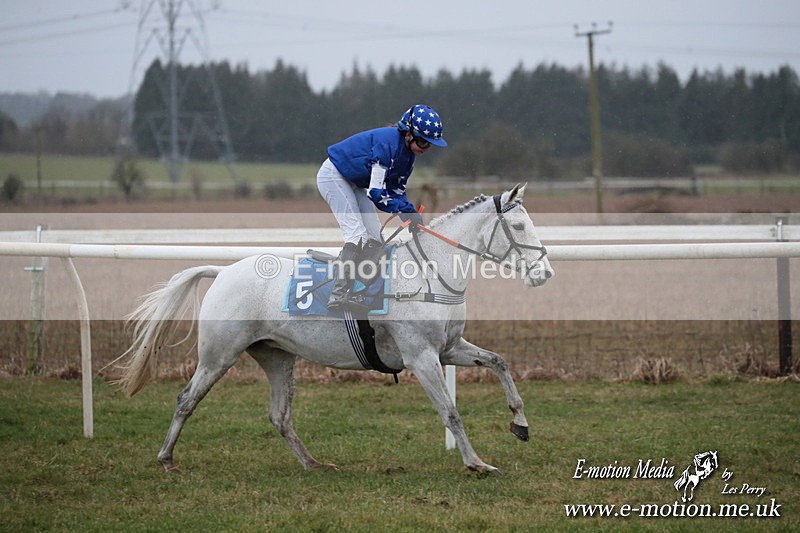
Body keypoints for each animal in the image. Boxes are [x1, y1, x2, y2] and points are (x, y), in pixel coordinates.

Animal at [118, 183, 554, 474]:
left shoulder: (449, 348)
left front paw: (520, 424)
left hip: (277, 356)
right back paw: (166, 457)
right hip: (218, 355)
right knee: (185, 399)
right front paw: (477, 463)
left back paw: (313, 463)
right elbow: (450, 411)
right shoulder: (421, 356)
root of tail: (223, 271)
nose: (545, 273)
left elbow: (499, 362)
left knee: (279, 415)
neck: (430, 271)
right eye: (518, 226)